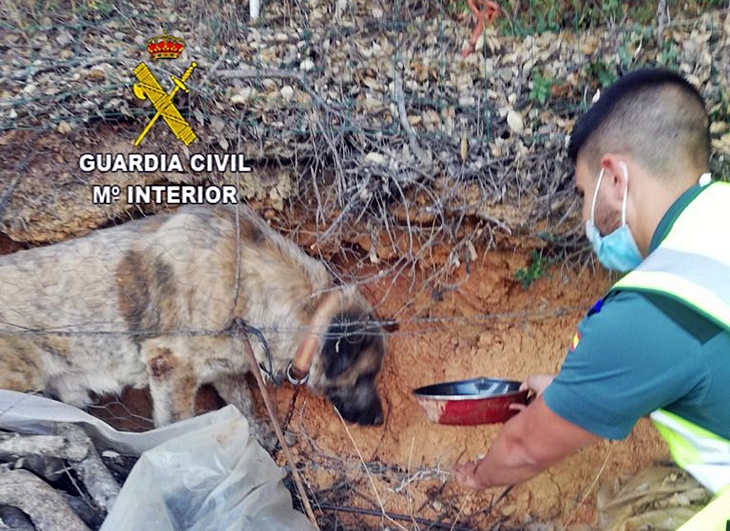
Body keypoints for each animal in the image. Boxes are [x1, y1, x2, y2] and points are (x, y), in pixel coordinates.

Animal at [0, 204, 386, 444]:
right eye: (365, 376)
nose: (381, 420)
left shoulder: (227, 370)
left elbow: (244, 406)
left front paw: (259, 437)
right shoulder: (170, 369)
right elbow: (178, 424)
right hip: (21, 380)